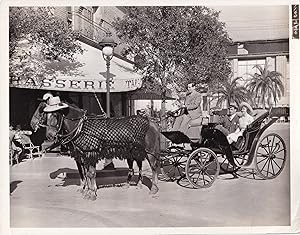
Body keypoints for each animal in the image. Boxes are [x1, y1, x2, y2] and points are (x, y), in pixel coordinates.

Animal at [30, 101, 162, 200]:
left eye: (56, 115)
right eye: (45, 115)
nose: (50, 136)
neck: (81, 127)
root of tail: (152, 122)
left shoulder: (90, 153)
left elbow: (90, 174)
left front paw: (91, 193)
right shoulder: (83, 155)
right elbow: (86, 173)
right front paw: (88, 190)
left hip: (149, 151)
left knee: (154, 167)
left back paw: (154, 189)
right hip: (134, 151)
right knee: (137, 166)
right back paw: (135, 184)